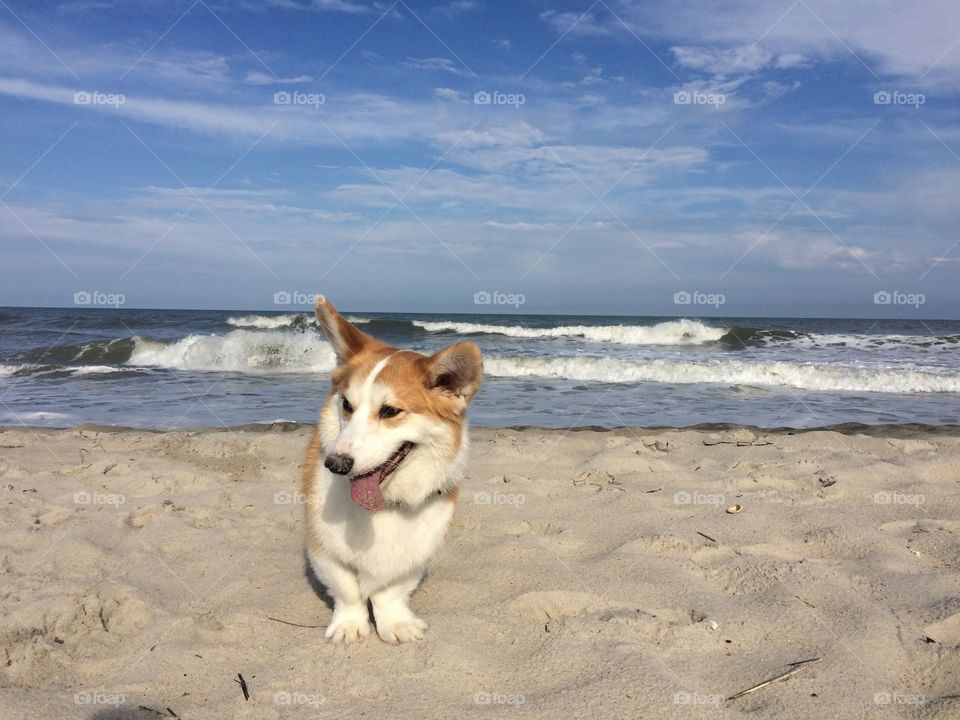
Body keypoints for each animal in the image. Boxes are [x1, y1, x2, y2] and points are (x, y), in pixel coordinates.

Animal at [300, 296, 480, 644]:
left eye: (390, 411)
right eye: (347, 405)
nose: (335, 464)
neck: (381, 505)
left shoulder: (414, 553)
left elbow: (390, 591)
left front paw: (395, 623)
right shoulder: (323, 547)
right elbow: (346, 588)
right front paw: (349, 625)